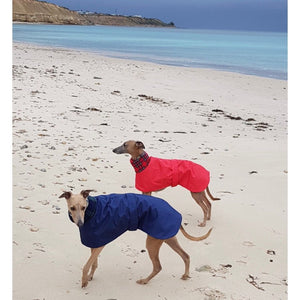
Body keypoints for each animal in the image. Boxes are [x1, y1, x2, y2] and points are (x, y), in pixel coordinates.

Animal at [59, 191, 212, 288]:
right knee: (186, 256)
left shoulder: (99, 243)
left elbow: (86, 265)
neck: (93, 210)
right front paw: (90, 277)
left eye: (83, 207)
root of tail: (176, 213)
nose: (80, 224)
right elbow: (94, 263)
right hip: (166, 237)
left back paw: (144, 281)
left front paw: (84, 281)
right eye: (72, 208)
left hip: (152, 242)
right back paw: (185, 275)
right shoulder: (95, 241)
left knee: (158, 266)